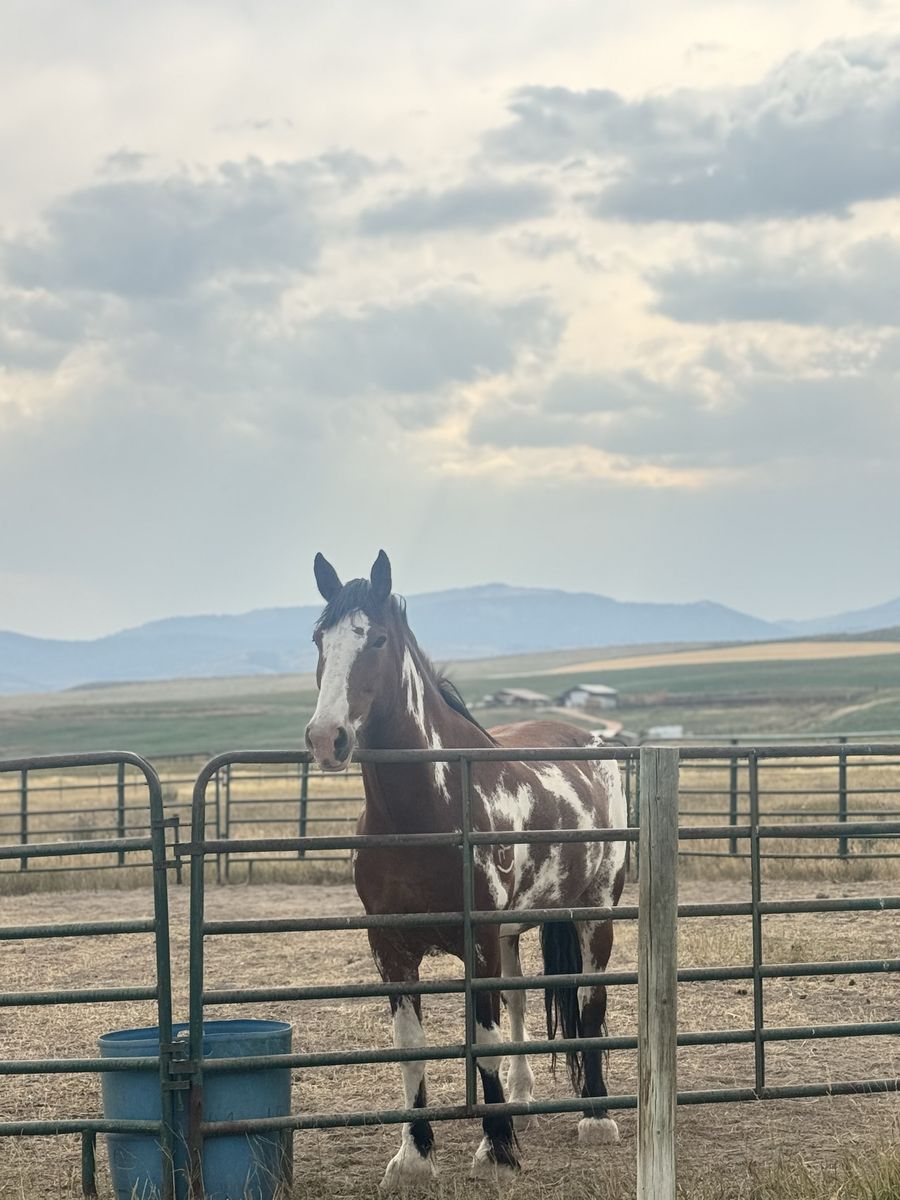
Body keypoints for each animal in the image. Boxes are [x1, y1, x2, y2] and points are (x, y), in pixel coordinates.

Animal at [305, 551, 627, 1190]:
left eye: (376, 639)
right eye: (318, 640)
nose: (327, 738)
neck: (425, 811)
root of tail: (592, 741)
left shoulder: (476, 942)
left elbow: (485, 1035)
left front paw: (496, 1149)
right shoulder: (391, 948)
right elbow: (412, 1046)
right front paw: (414, 1155)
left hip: (595, 913)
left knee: (591, 1002)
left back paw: (595, 1117)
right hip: (514, 934)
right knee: (525, 1000)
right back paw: (523, 1102)